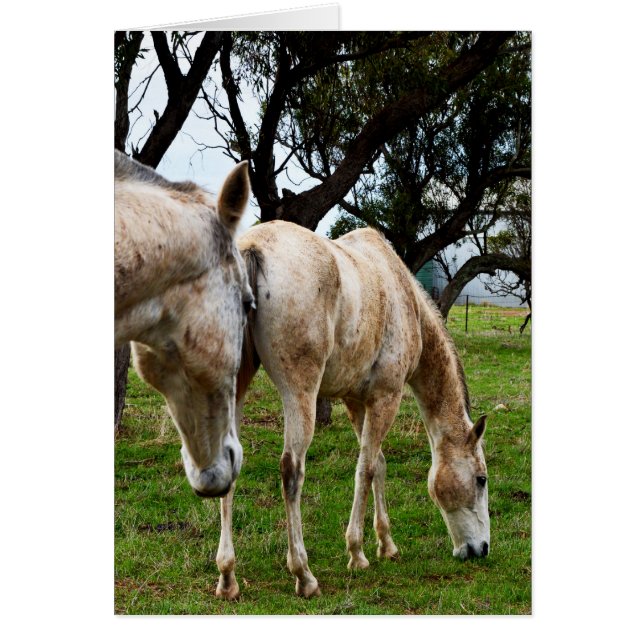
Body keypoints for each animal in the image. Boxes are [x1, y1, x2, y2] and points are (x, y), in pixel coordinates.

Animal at [213, 220, 490, 599]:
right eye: (481, 479)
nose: (482, 549)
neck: (404, 297)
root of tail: (252, 246)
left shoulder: (358, 401)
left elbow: (379, 464)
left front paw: (386, 544)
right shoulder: (386, 397)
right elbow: (366, 469)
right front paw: (357, 552)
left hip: (236, 387)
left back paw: (228, 577)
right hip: (300, 392)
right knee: (292, 470)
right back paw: (304, 575)